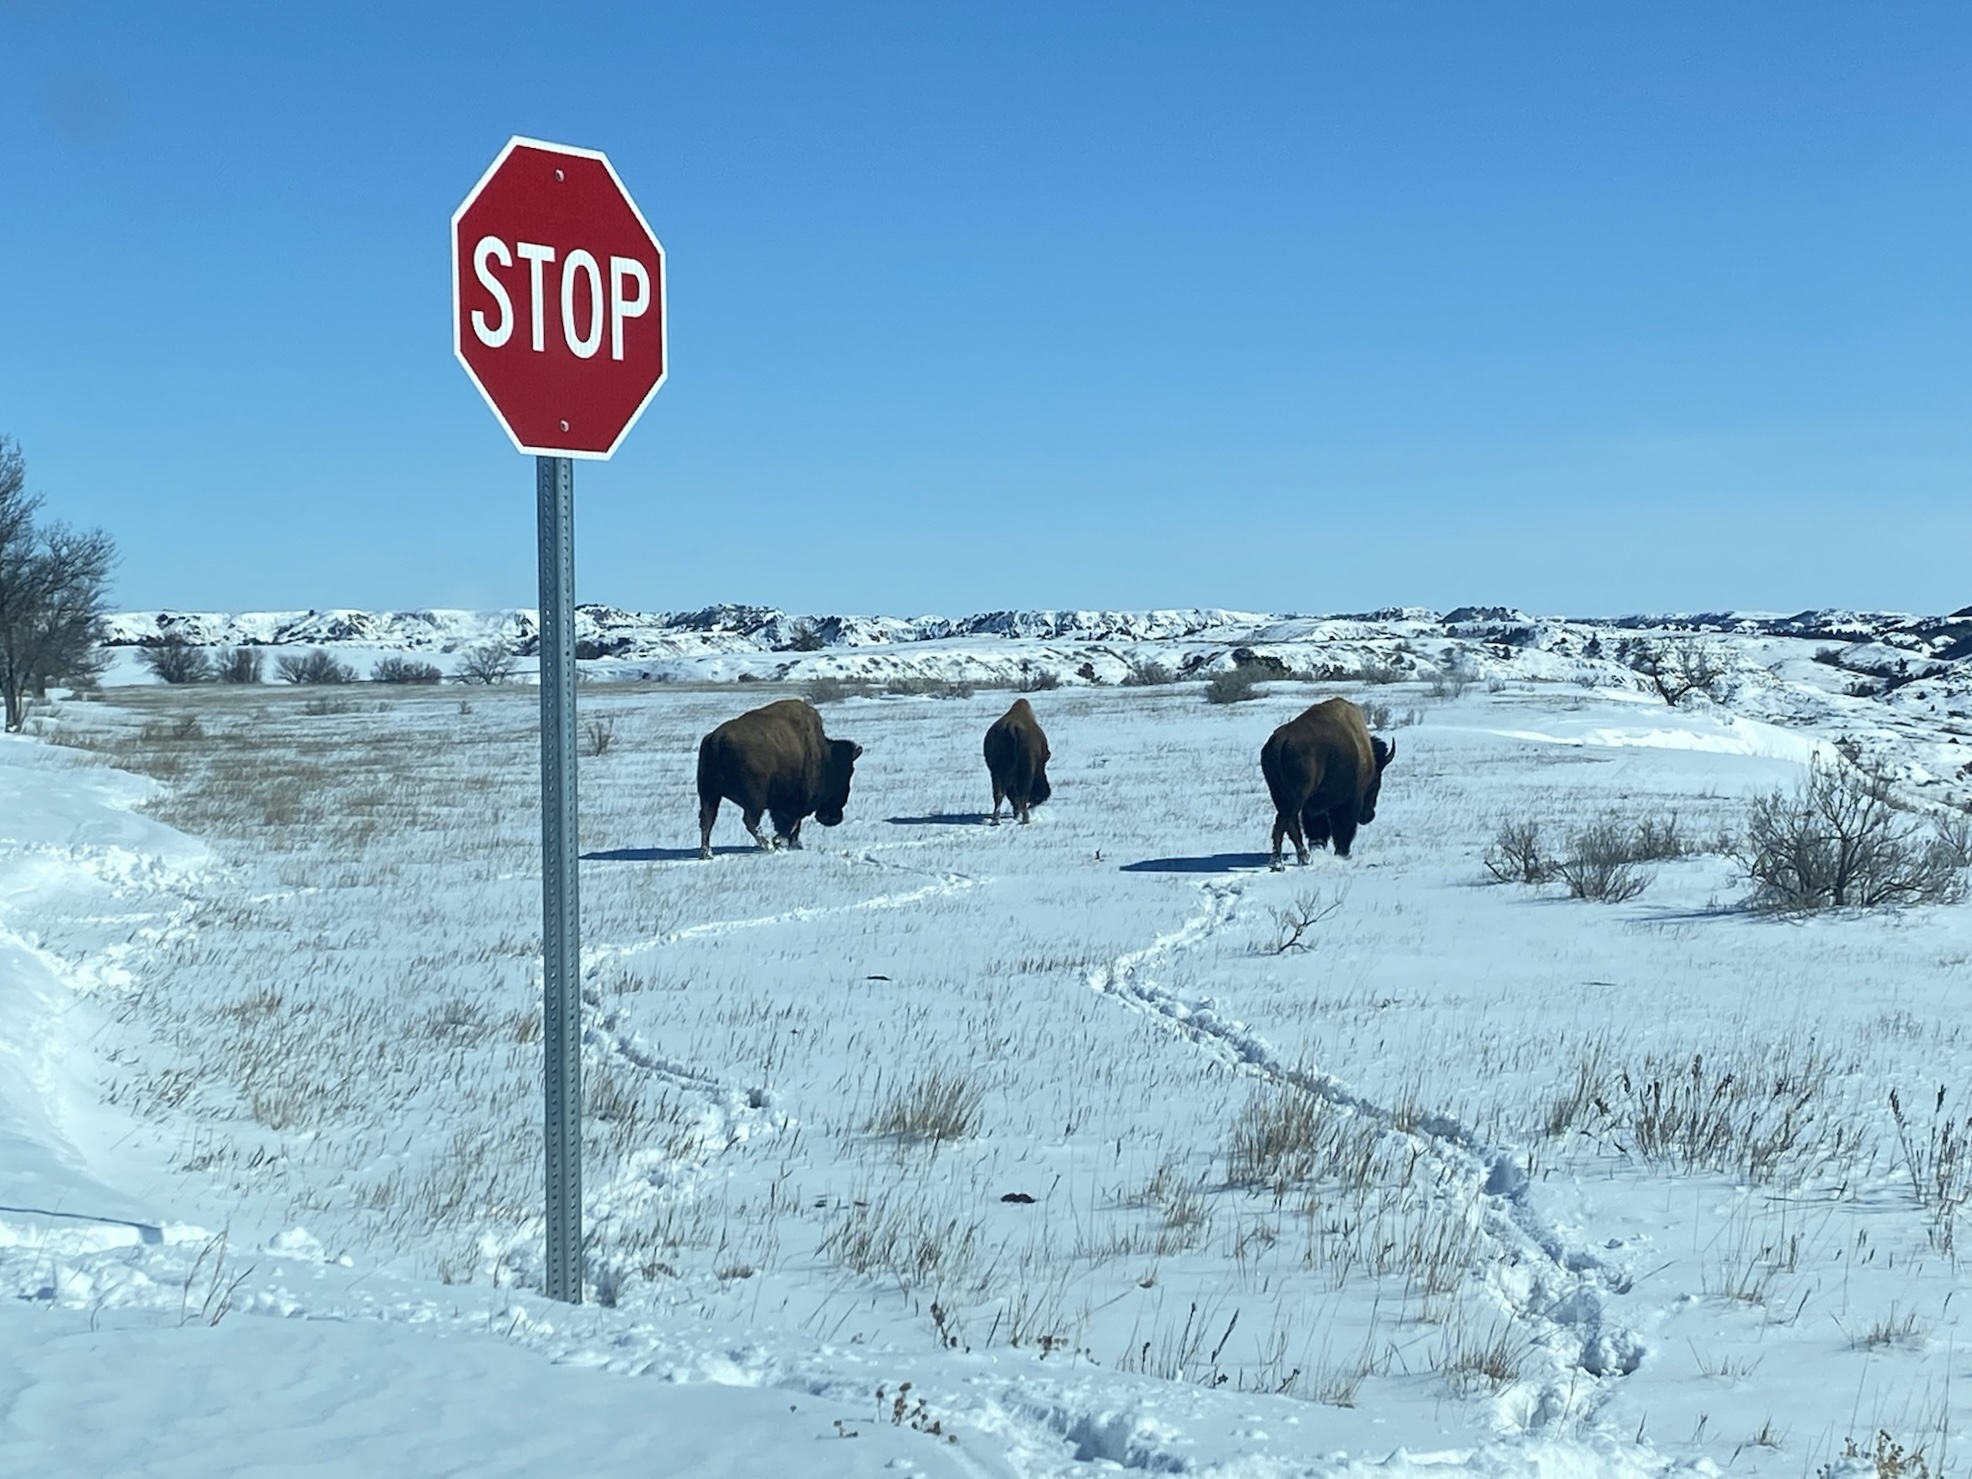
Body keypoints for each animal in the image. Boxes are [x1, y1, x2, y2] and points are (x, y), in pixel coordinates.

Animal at [697, 699, 862, 859]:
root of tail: (716, 739)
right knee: (750, 821)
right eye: (847, 771)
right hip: (753, 799)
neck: (824, 755)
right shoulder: (795, 802)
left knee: (707, 820)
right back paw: (768, 846)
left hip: (709, 794)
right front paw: (779, 841)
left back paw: (707, 854)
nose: (833, 818)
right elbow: (792, 822)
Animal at [1259, 697, 1395, 869]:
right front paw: (1344, 854)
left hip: (1279, 794)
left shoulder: (1314, 806)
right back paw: (1280, 863)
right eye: (1376, 780)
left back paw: (1303, 858)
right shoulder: (1349, 801)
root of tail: (1280, 740)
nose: (1368, 816)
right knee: (1284, 824)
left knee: (1290, 825)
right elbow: (1343, 828)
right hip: (1295, 797)